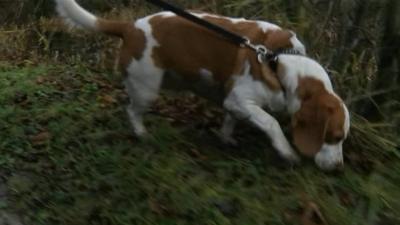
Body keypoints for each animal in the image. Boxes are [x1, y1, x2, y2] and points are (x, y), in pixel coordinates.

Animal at [56, 0, 350, 171]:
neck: (281, 60)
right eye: (333, 137)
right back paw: (141, 133)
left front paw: (226, 137)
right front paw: (286, 151)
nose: (338, 167)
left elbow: (231, 120)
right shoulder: (241, 99)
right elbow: (272, 123)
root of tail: (130, 27)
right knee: (131, 111)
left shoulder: (234, 102)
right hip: (146, 89)